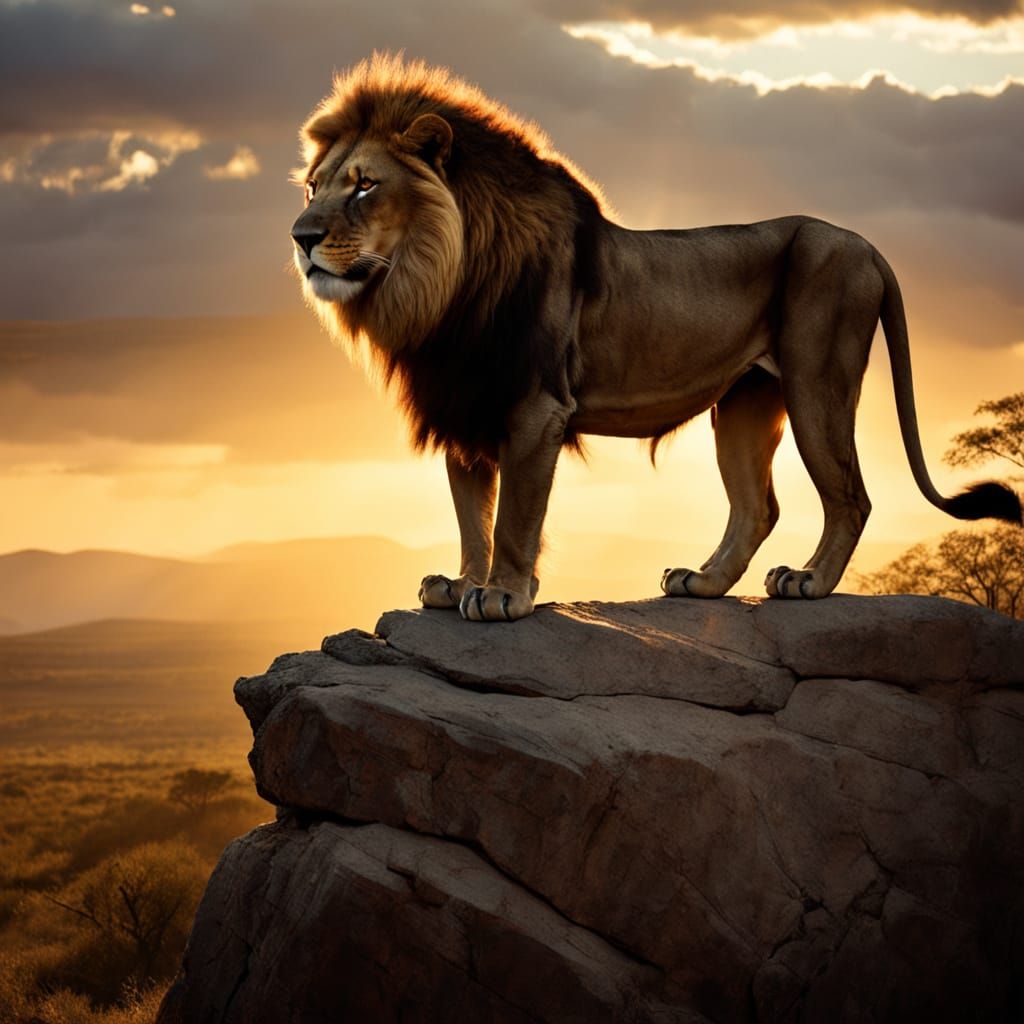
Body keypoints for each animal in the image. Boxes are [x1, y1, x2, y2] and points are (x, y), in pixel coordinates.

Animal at [290, 54, 1021, 621]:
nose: (300, 237)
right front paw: (462, 583)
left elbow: (514, 516)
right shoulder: (465, 400)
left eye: (363, 185)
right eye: (312, 186)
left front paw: (502, 595)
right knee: (756, 507)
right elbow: (472, 511)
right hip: (746, 402)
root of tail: (867, 244)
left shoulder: (534, 406)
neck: (437, 285)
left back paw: (809, 581)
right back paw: (702, 582)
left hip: (820, 380)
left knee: (850, 497)